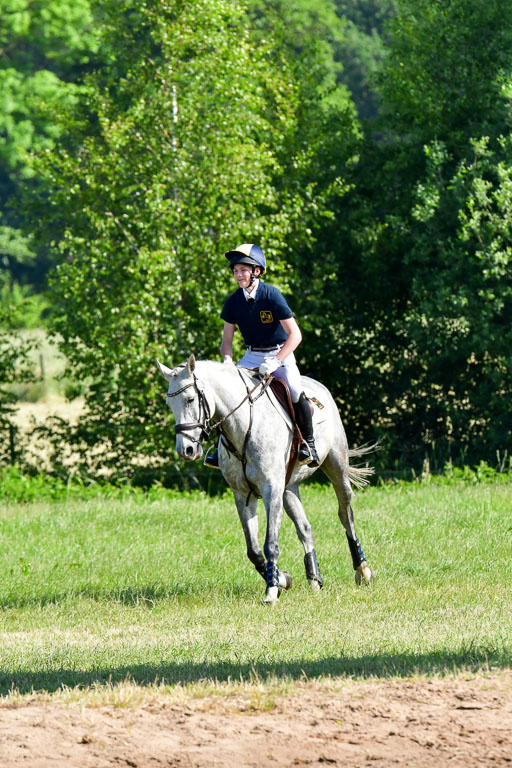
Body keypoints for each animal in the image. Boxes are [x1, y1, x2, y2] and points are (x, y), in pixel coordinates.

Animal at [156, 354, 374, 604]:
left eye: (191, 399)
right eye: (169, 405)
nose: (186, 450)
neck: (242, 427)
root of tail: (319, 386)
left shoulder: (271, 490)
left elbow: (270, 543)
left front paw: (272, 590)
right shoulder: (243, 495)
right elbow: (253, 550)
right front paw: (281, 579)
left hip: (336, 467)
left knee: (345, 513)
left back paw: (362, 570)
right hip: (288, 489)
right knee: (305, 528)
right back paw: (314, 578)